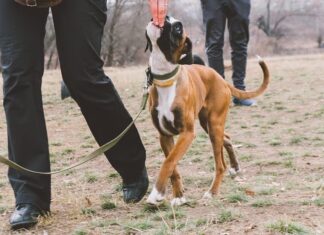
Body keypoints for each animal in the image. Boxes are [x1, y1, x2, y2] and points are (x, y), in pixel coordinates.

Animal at [146, 16, 270, 206]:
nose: (165, 17)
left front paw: (156, 194)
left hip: (214, 125)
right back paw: (235, 167)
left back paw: (213, 191)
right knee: (227, 139)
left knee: (220, 165)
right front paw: (178, 196)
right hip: (209, 125)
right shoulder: (164, 135)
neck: (166, 79)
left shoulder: (187, 133)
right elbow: (172, 165)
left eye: (178, 28)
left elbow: (169, 162)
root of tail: (221, 79)